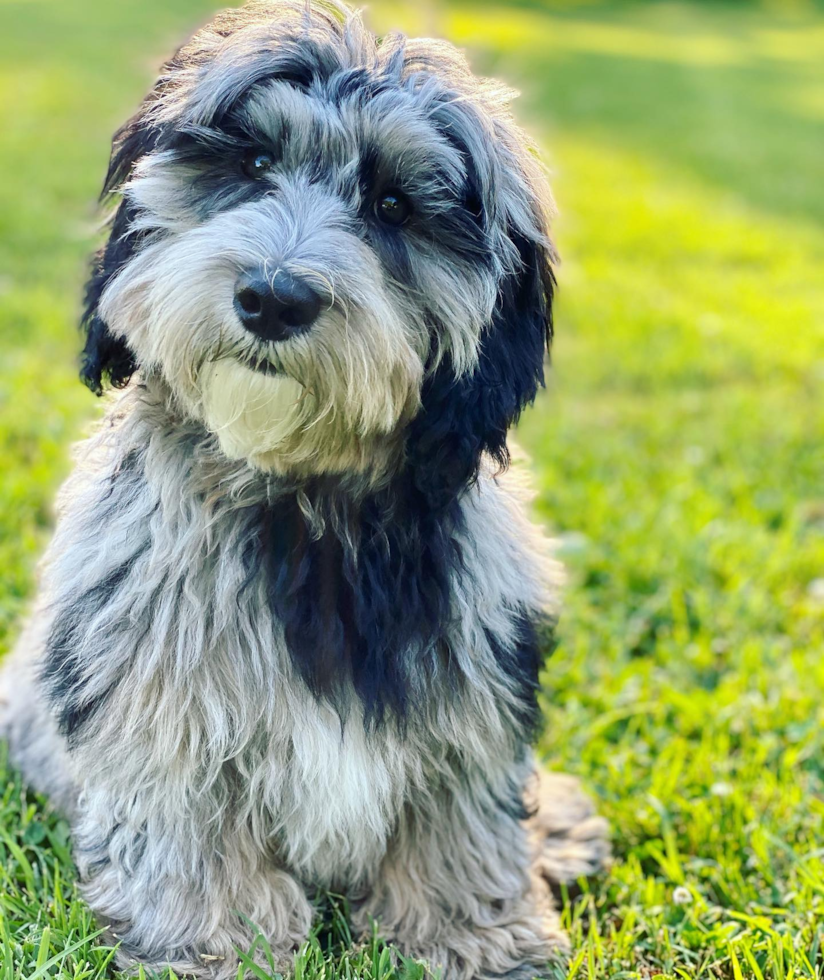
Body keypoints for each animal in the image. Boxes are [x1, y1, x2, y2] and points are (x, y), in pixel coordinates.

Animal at [0, 3, 608, 976]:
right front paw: (213, 948)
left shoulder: (471, 681)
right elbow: (193, 842)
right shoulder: (160, 699)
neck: (304, 499)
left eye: (393, 206)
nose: (274, 298)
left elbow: (460, 824)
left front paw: (474, 940)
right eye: (252, 165)